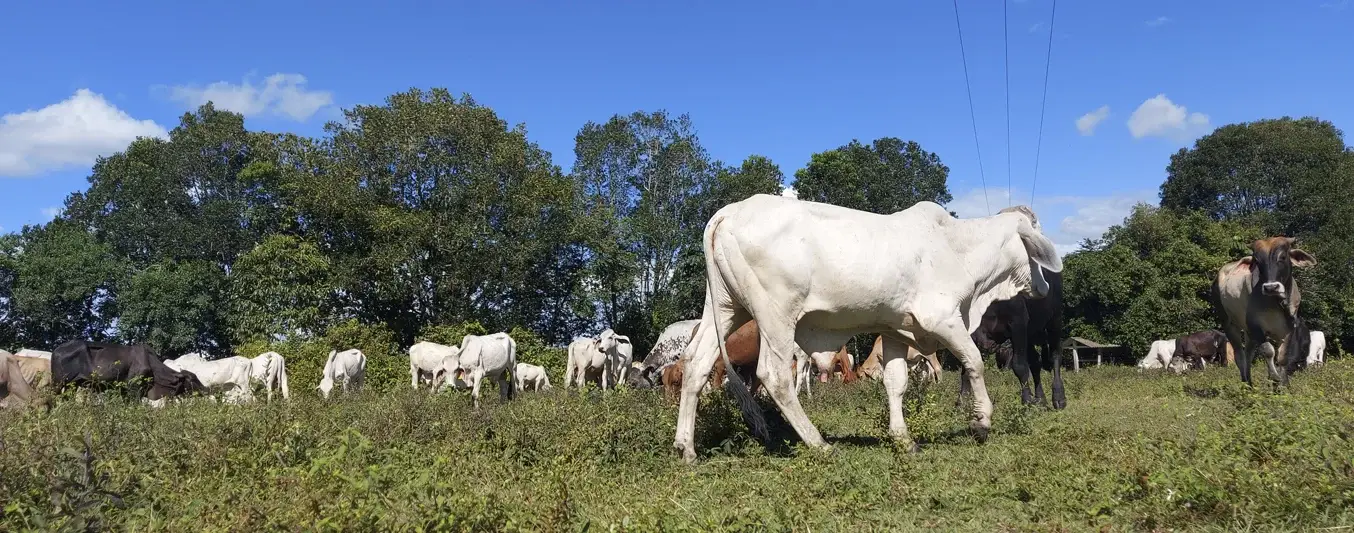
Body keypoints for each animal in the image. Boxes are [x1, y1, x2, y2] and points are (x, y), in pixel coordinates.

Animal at [51, 339, 203, 405]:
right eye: (193, 379)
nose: (205, 389)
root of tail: (56, 350)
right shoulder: (133, 389)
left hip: (72, 385)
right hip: (58, 383)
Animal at [958, 269, 1061, 411]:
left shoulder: (1018, 322)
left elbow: (1019, 365)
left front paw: (1026, 401)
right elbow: (967, 368)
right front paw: (962, 404)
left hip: (1054, 318)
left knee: (1055, 355)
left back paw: (1059, 397)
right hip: (1030, 331)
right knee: (1036, 361)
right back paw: (1041, 400)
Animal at [1213, 239, 1316, 384]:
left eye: (1283, 257)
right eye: (1257, 261)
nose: (1271, 287)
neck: (1277, 302)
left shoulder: (1288, 328)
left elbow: (1283, 356)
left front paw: (1283, 383)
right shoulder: (1256, 326)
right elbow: (1268, 350)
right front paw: (1274, 377)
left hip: (1248, 332)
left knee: (1248, 354)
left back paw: (1249, 383)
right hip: (1229, 324)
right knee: (1239, 355)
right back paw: (1245, 383)